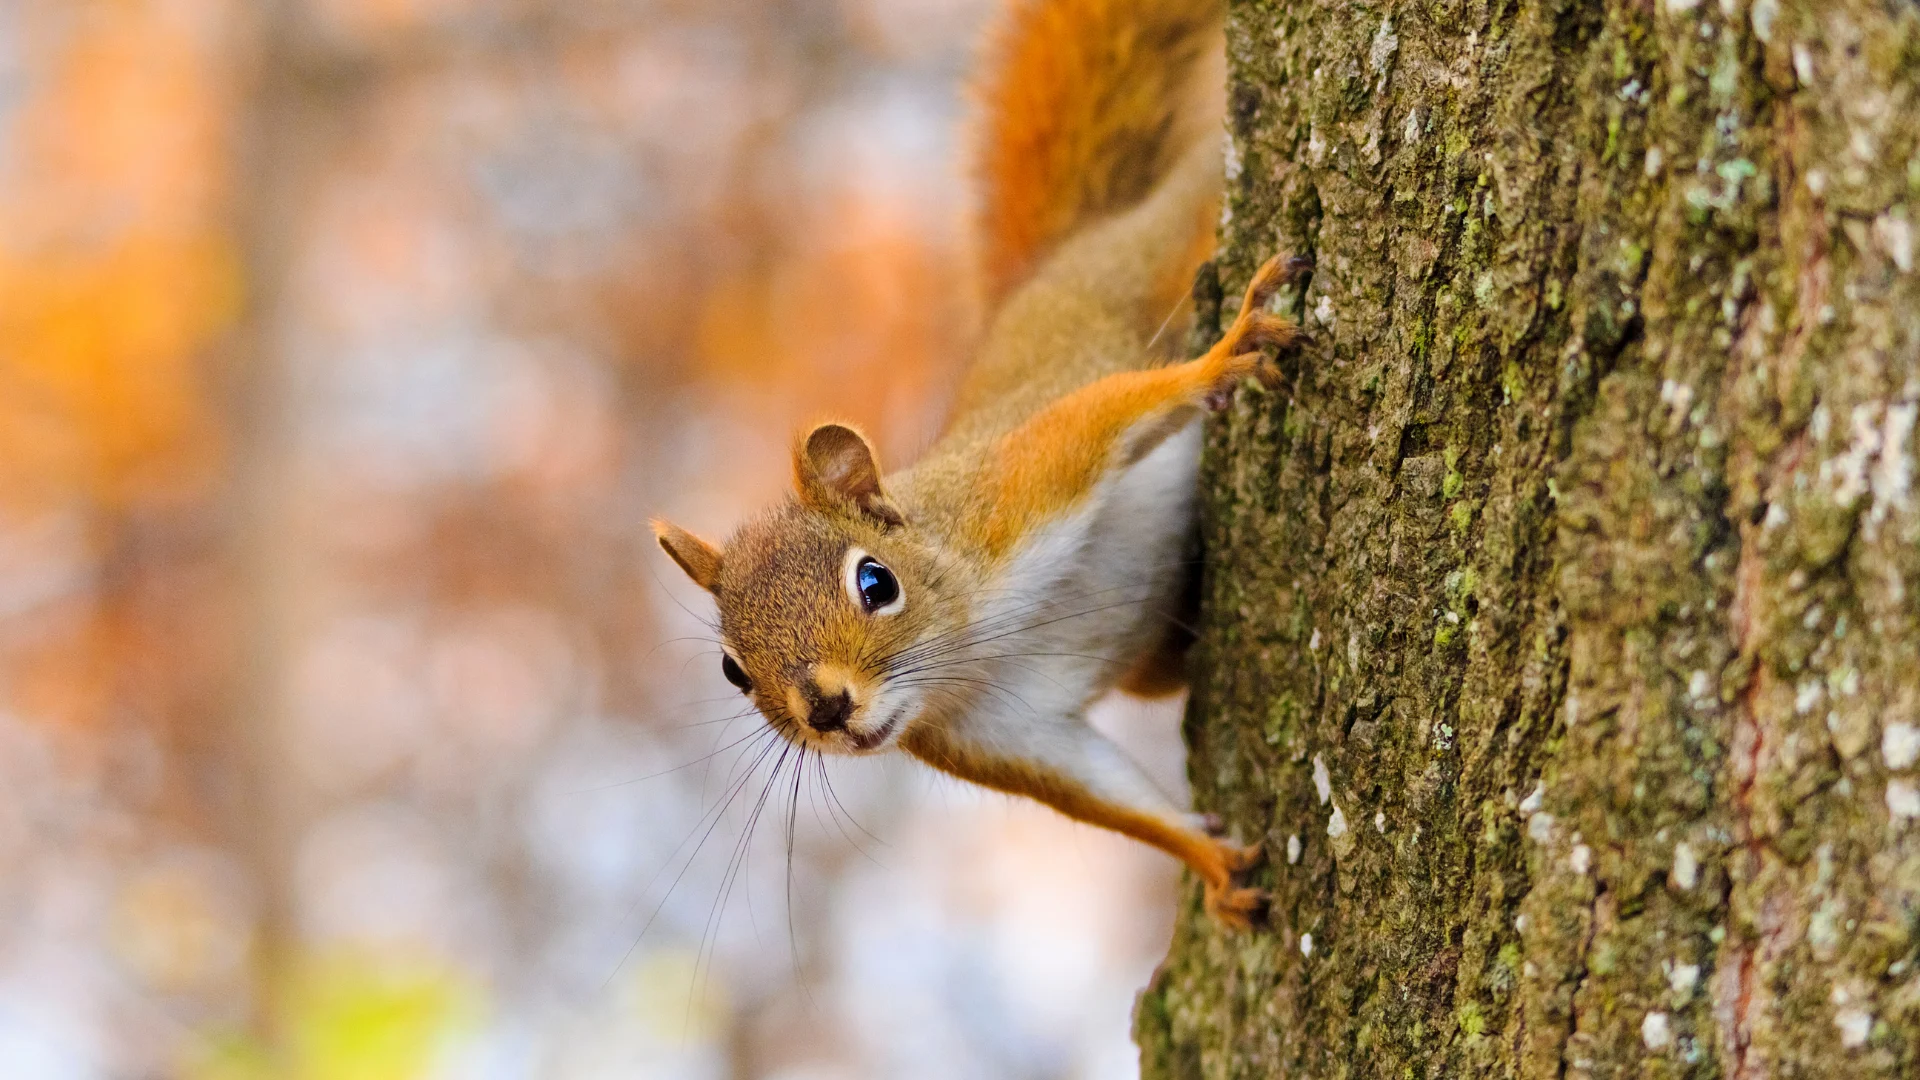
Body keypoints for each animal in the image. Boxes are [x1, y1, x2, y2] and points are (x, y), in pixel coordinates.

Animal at [652, 0, 1307, 929]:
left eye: (876, 583)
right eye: (733, 672)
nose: (827, 709)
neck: (973, 644)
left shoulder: (1016, 490)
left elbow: (1106, 416)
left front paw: (1223, 357)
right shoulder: (999, 734)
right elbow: (1110, 797)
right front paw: (1210, 863)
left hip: (1157, 252)